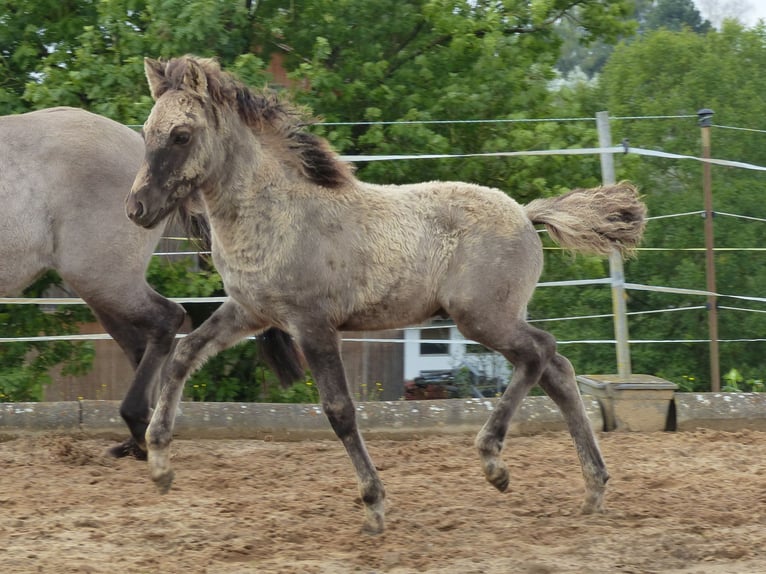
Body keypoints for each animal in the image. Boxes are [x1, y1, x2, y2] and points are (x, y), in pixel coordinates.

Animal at [0, 107, 304, 460]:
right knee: (141, 343)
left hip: (104, 279)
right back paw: (141, 437)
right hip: (102, 287)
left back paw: (138, 426)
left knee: (167, 319)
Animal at [127, 55, 648, 536]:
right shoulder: (249, 312)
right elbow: (184, 356)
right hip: (493, 318)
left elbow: (339, 411)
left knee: (542, 353)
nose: (137, 208)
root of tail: (525, 212)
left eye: (181, 135)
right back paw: (593, 488)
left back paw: (494, 462)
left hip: (482, 317)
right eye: (147, 131)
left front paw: (374, 505)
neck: (275, 212)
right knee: (557, 370)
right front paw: (159, 464)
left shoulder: (313, 325)